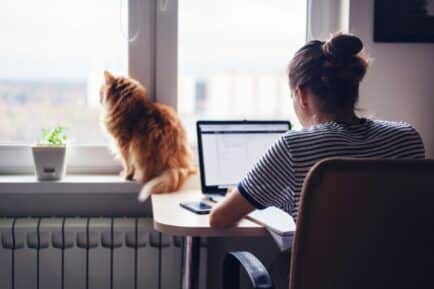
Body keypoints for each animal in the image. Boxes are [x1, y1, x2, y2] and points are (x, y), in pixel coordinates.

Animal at [99, 70, 196, 199]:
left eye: (101, 91)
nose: (99, 98)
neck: (133, 107)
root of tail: (174, 164)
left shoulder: (123, 144)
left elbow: (127, 164)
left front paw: (127, 175)